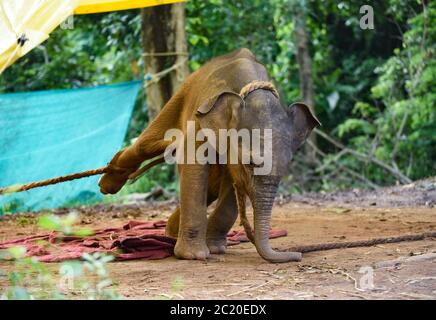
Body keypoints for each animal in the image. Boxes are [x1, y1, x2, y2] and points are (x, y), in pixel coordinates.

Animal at [99, 47, 320, 262]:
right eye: (249, 163)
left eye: (286, 167)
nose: (298, 255)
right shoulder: (201, 118)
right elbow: (195, 167)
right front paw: (193, 256)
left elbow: (232, 185)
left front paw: (215, 249)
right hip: (181, 95)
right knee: (146, 144)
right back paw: (108, 183)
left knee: (211, 189)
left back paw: (170, 233)